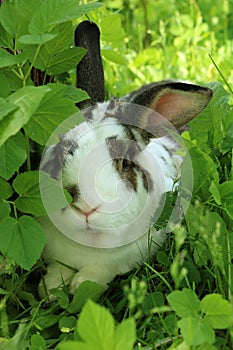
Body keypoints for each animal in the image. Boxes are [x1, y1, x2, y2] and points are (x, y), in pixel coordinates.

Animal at [36, 21, 213, 298]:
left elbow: (102, 271)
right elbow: (57, 269)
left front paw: (82, 284)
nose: (86, 207)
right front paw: (52, 288)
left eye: (126, 162)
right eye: (61, 151)